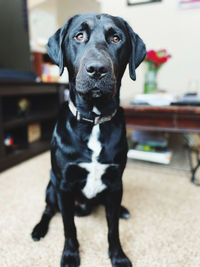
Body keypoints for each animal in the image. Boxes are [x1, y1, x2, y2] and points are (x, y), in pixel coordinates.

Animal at [31, 13, 145, 266]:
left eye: (116, 38)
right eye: (79, 36)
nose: (97, 69)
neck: (94, 120)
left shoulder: (115, 182)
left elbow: (113, 228)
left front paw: (118, 255)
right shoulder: (63, 186)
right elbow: (69, 226)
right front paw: (70, 254)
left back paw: (123, 210)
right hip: (51, 187)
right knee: (48, 210)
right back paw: (39, 229)